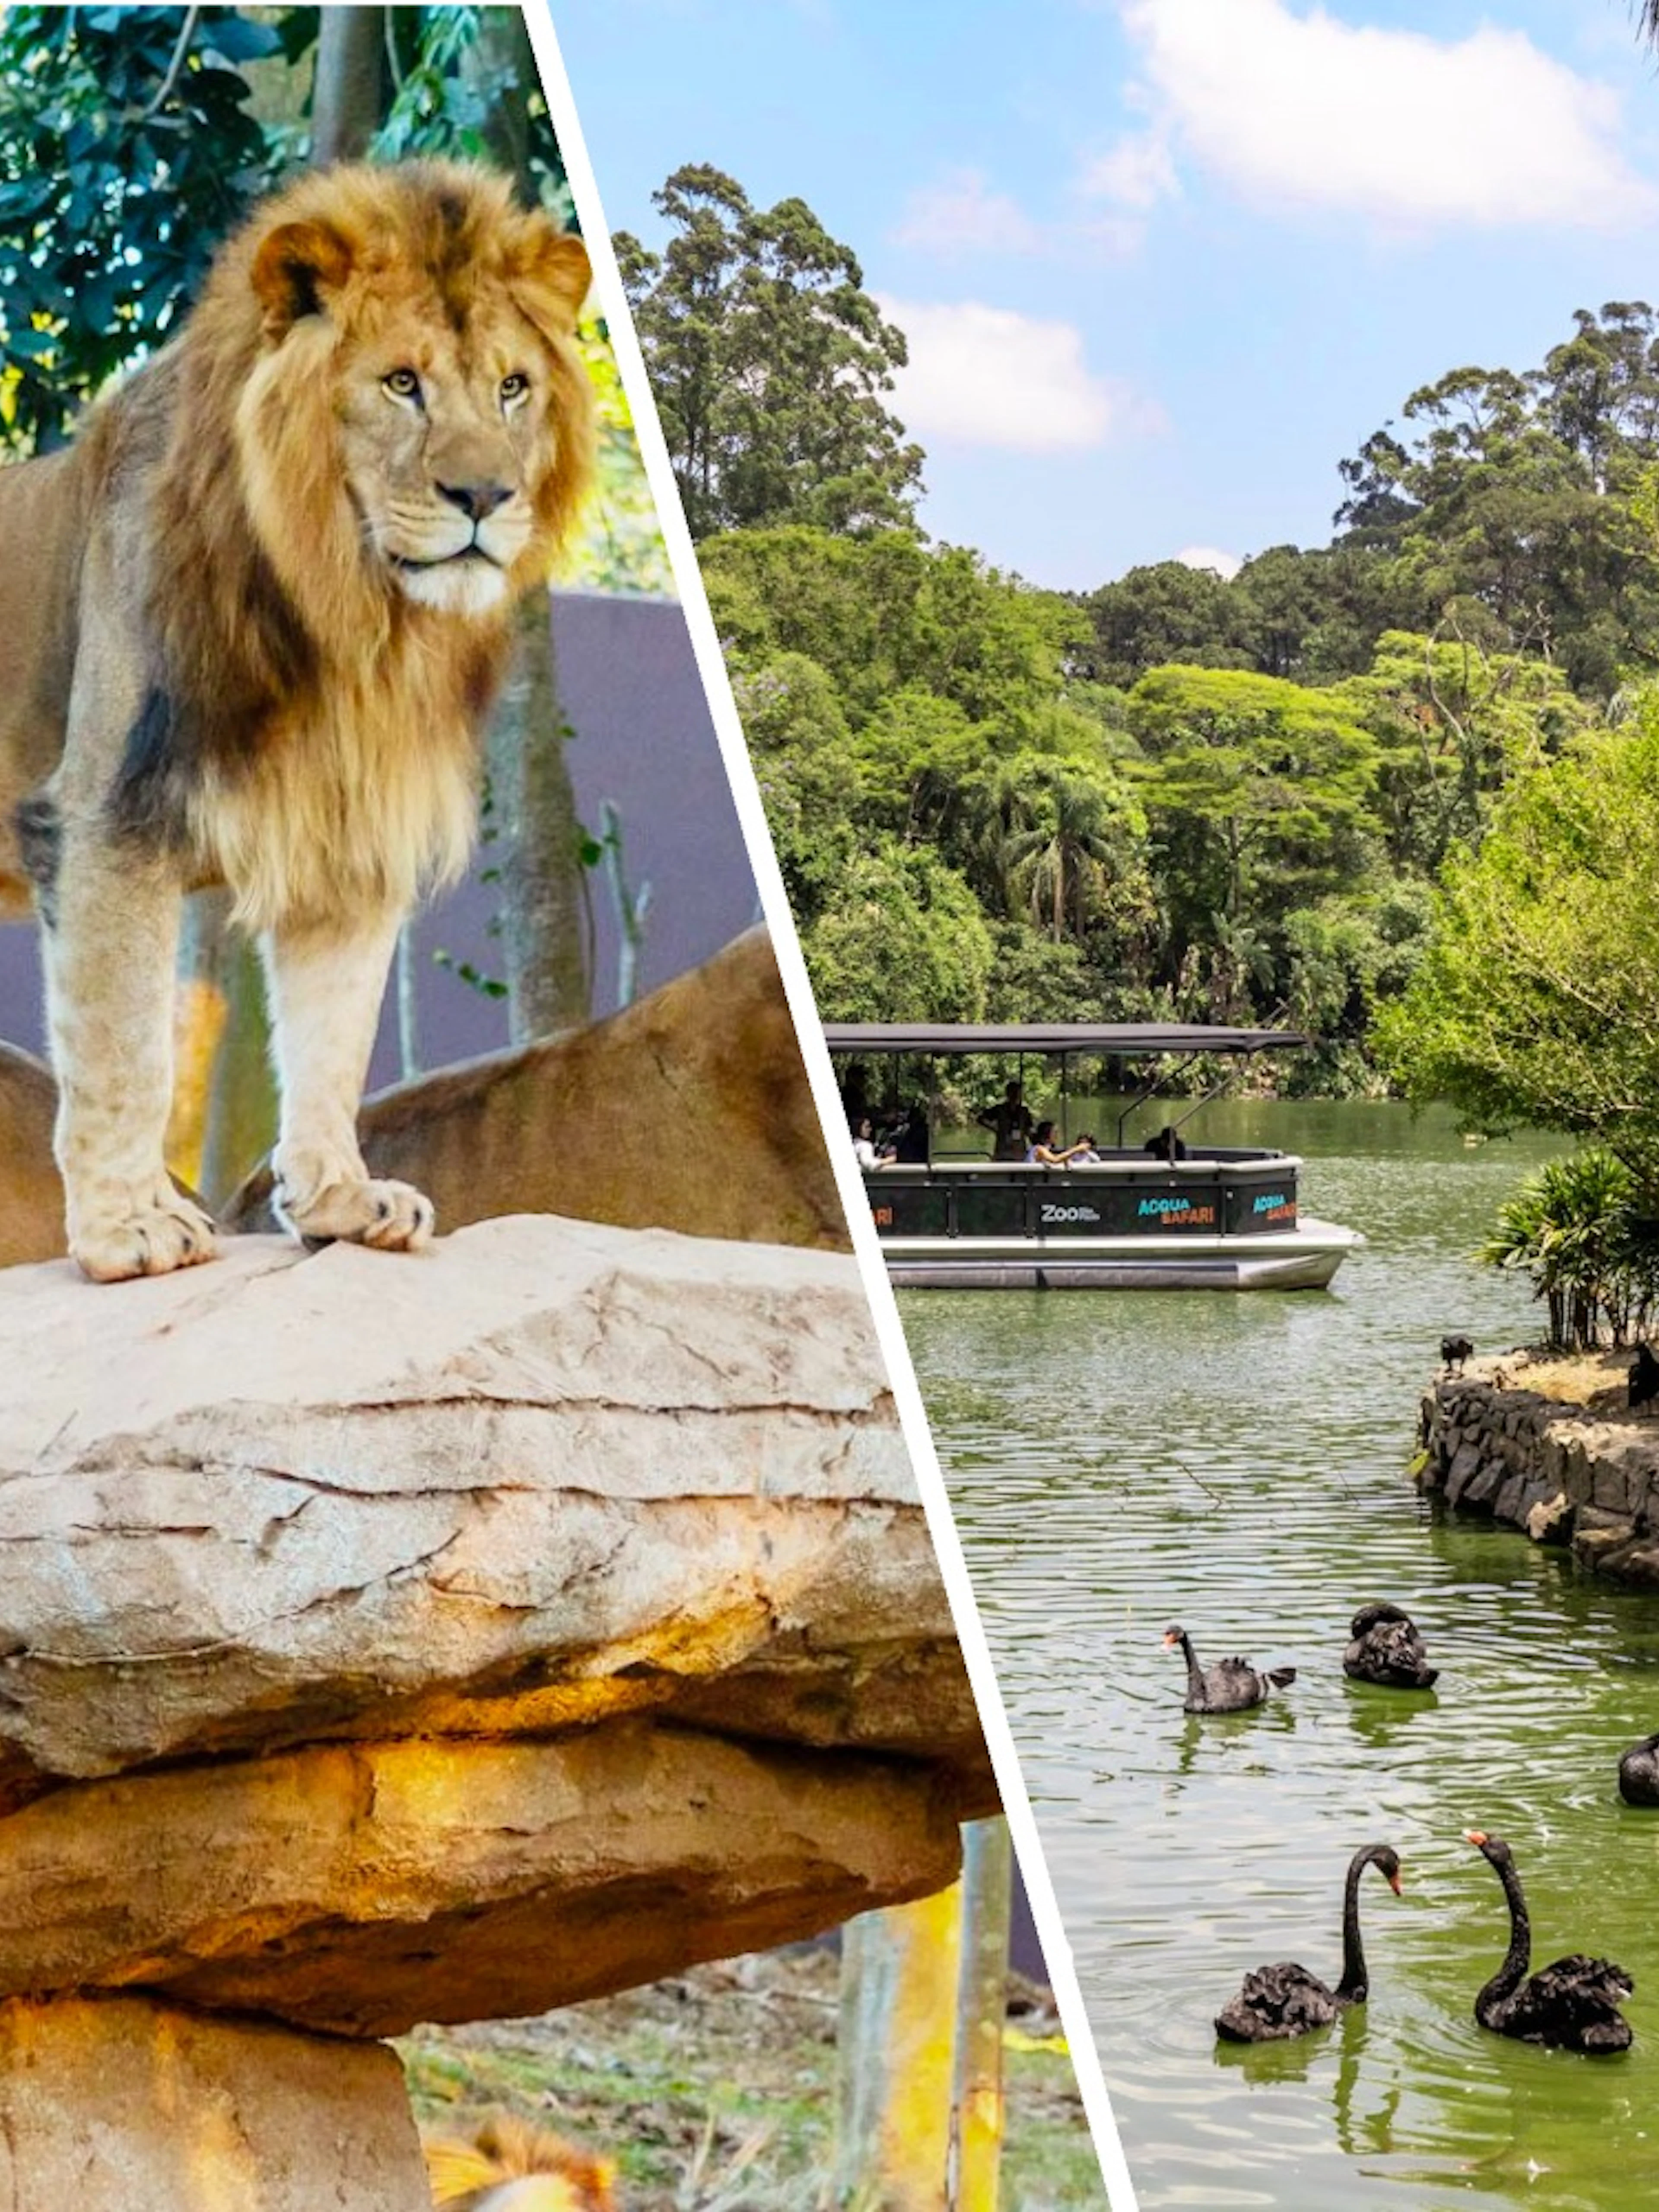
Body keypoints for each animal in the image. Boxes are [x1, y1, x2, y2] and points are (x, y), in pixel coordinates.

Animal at [0, 159, 594, 1281]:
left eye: (512, 387)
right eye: (401, 384)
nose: (487, 495)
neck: (345, 617)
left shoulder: (346, 832)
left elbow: (331, 1040)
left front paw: (341, 1203)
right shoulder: (105, 817)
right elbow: (123, 1046)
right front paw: (127, 1227)